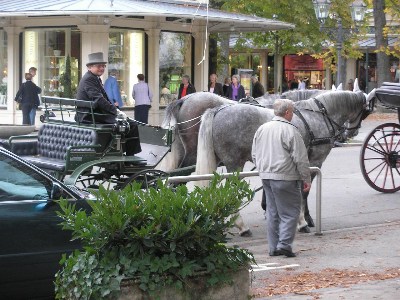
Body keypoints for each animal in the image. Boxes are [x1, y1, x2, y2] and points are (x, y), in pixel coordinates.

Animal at [195, 90, 376, 233]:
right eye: (365, 113)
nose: (350, 134)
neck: (320, 115)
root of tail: (218, 110)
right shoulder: (314, 161)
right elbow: (304, 192)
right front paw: (303, 221)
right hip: (235, 164)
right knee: (231, 191)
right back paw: (241, 226)